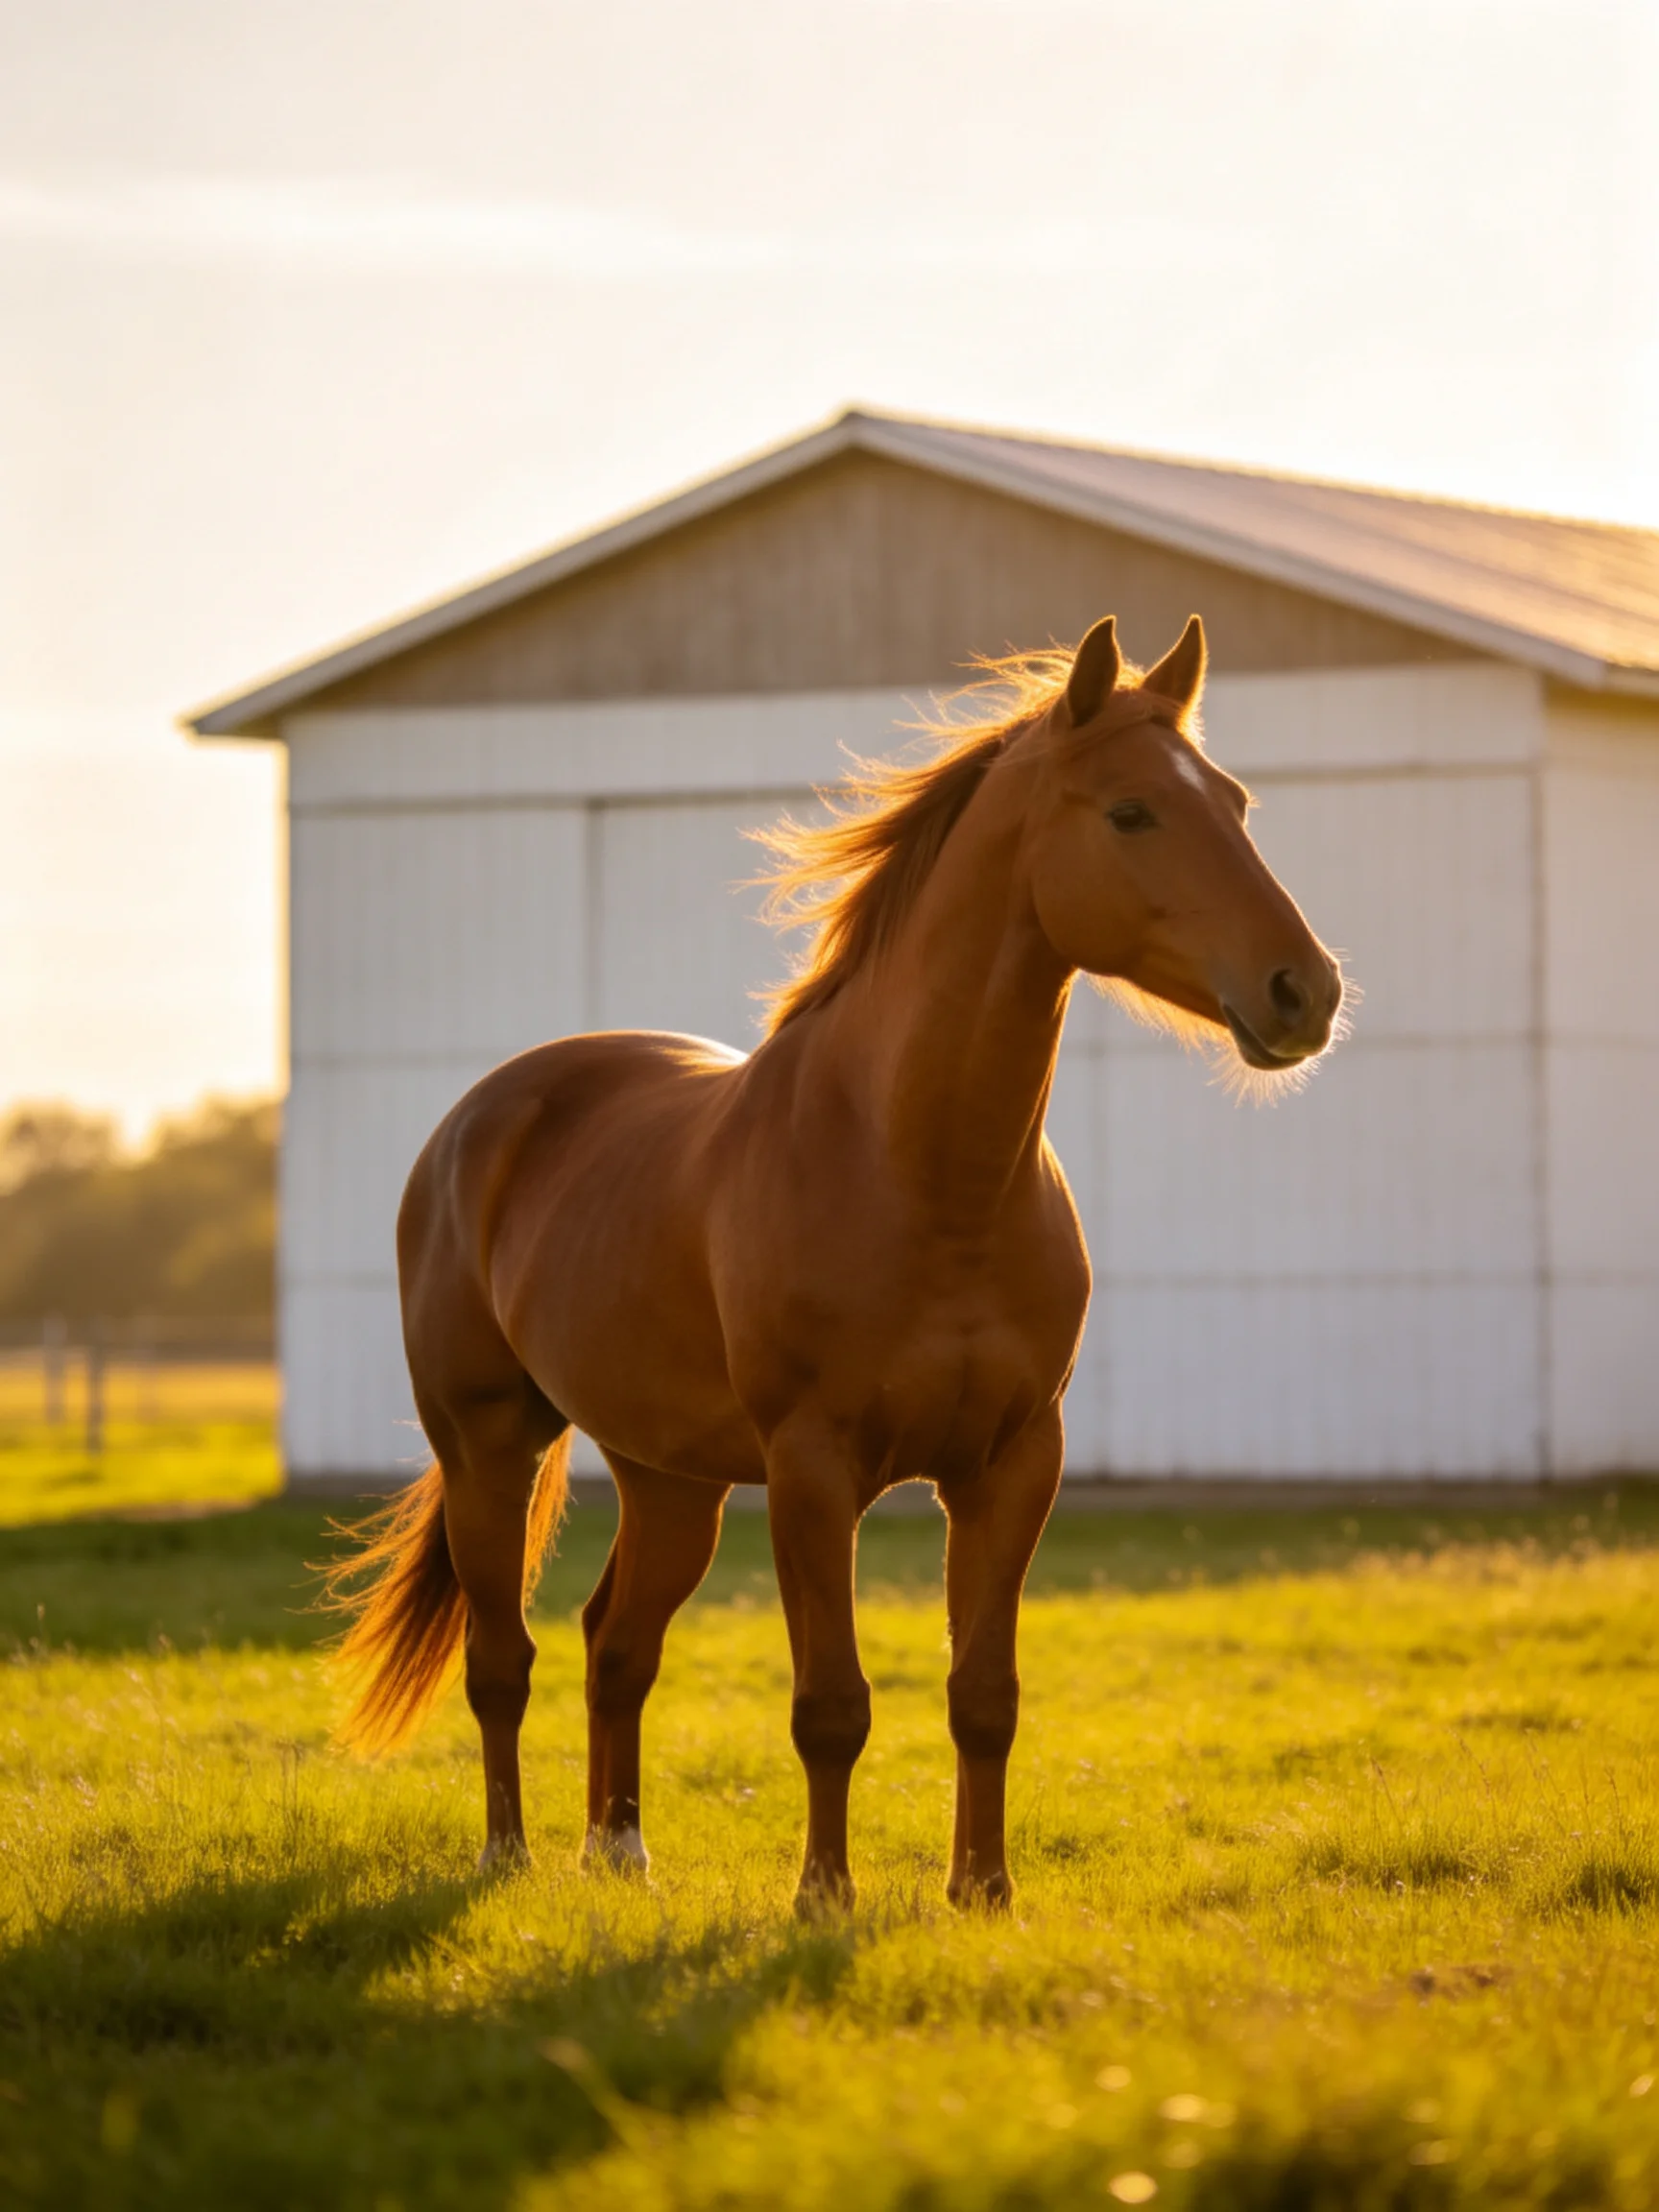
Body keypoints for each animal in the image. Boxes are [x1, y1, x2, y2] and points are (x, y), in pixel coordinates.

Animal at [324, 612, 1344, 1909]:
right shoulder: (813, 1471)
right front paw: (824, 1898)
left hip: (671, 1479)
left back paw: (619, 1854)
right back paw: (508, 1855)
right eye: (1130, 812)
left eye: (1236, 801)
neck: (925, 1177)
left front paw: (984, 1893)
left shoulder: (1014, 1464)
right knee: (504, 1659)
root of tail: (482, 1118)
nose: (1304, 991)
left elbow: (984, 1697)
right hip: (489, 1446)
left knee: (618, 1646)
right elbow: (832, 1707)